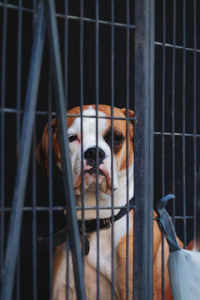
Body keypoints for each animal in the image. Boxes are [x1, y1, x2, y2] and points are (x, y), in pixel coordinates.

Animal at [36, 104, 173, 298]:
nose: (94, 152)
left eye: (116, 138)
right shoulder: (61, 290)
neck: (95, 218)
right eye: (72, 138)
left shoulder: (130, 289)